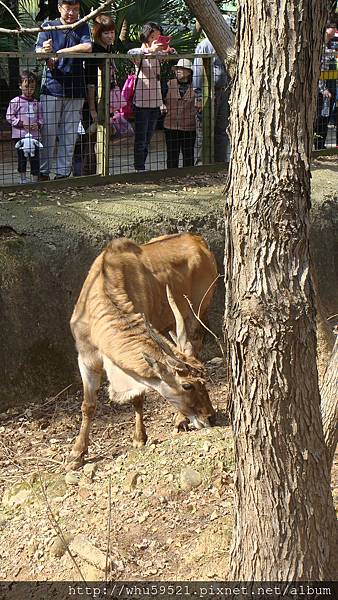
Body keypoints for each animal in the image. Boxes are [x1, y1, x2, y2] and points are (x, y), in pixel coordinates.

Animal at [68, 233, 217, 468]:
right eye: (187, 385)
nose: (210, 417)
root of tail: (198, 240)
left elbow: (137, 397)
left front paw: (139, 438)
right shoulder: (86, 358)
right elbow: (88, 405)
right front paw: (77, 454)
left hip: (197, 313)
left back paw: (180, 420)